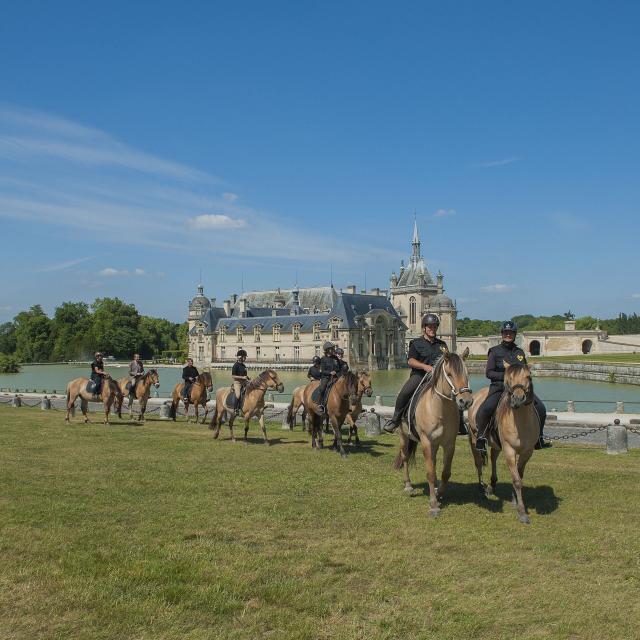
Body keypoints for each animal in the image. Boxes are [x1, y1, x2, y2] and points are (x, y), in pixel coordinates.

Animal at [392, 348, 472, 516]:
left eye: (467, 373)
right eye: (449, 374)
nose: (466, 401)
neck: (440, 410)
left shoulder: (449, 444)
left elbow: (445, 472)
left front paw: (439, 493)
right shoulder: (427, 442)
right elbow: (429, 472)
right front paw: (433, 504)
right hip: (403, 436)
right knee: (405, 457)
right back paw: (408, 485)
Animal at [464, 362, 540, 524]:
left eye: (528, 376)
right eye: (508, 378)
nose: (518, 399)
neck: (521, 422)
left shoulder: (527, 452)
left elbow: (519, 476)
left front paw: (514, 500)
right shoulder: (509, 450)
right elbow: (517, 480)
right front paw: (522, 512)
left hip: (496, 444)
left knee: (493, 458)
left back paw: (492, 485)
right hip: (474, 439)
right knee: (478, 462)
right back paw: (481, 488)